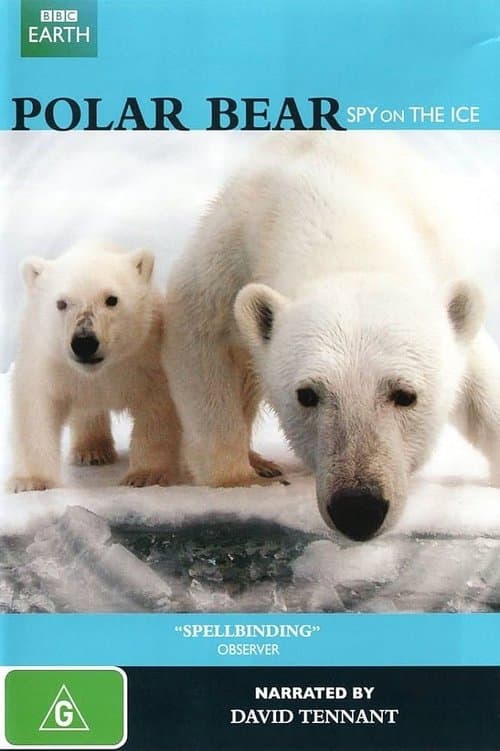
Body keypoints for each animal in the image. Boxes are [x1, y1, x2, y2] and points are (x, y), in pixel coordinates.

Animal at [9, 241, 182, 492]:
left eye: (112, 299)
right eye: (61, 303)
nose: (84, 342)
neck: (100, 372)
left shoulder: (146, 357)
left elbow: (156, 407)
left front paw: (147, 475)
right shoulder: (51, 362)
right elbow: (36, 408)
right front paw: (30, 481)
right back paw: (92, 451)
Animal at [164, 132, 500, 541]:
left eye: (406, 395)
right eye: (307, 394)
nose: (358, 509)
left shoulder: (440, 263)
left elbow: (481, 384)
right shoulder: (231, 252)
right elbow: (200, 335)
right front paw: (240, 480)